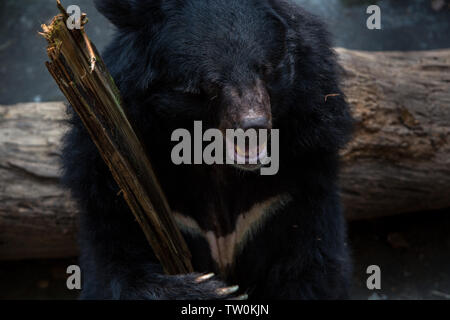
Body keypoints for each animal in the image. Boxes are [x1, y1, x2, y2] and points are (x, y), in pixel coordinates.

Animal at [61, 0, 354, 300]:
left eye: (266, 69)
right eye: (210, 83)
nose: (254, 126)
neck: (215, 160)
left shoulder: (293, 188)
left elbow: (312, 268)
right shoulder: (112, 192)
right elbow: (115, 271)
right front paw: (214, 291)